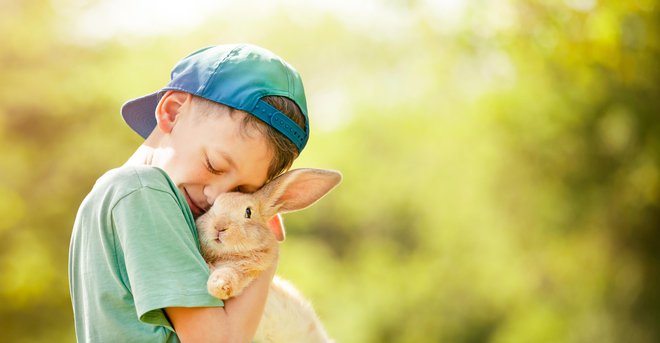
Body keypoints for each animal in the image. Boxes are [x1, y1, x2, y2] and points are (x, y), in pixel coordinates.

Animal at [195, 168, 340, 342]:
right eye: (212, 206)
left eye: (248, 212)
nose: (219, 227)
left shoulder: (246, 269)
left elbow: (229, 275)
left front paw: (218, 286)